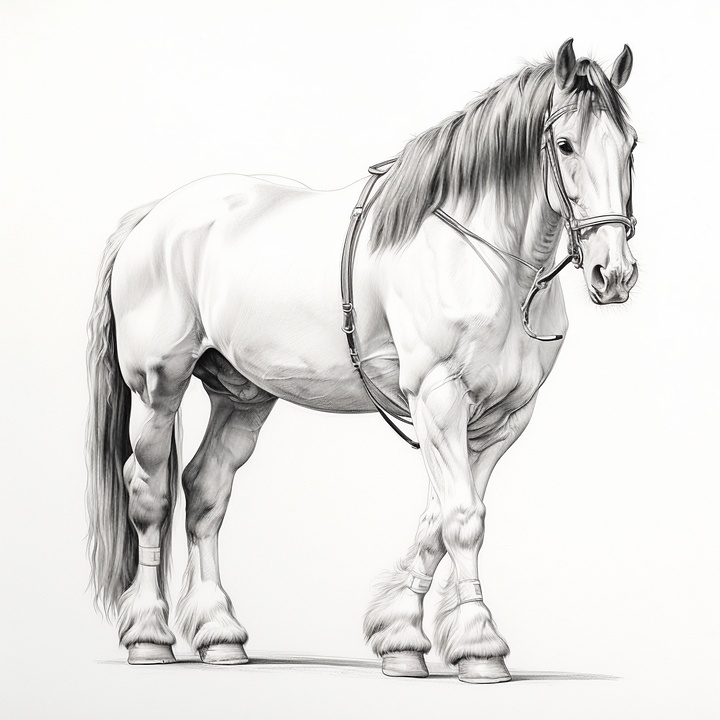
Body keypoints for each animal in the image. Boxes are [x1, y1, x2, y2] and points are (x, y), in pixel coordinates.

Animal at [86, 39, 638, 684]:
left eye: (631, 145)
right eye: (566, 144)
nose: (614, 273)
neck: (480, 256)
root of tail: (150, 217)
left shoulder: (502, 420)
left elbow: (438, 523)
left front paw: (402, 638)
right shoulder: (438, 399)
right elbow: (462, 520)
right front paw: (481, 647)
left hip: (241, 395)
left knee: (204, 490)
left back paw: (220, 634)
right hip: (159, 389)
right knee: (149, 493)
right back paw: (148, 635)